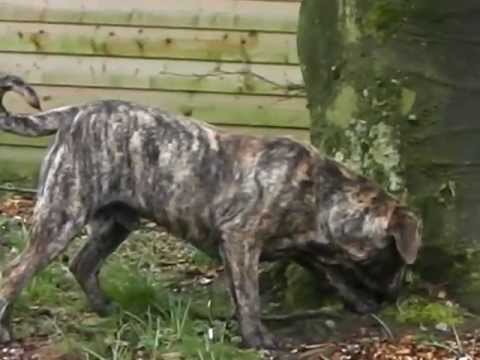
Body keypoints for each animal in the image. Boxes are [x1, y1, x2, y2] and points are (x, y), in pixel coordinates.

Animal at [0, 75, 420, 348]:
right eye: (395, 257)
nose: (396, 295)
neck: (320, 193)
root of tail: (75, 112)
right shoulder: (240, 240)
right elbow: (248, 296)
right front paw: (258, 338)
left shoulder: (301, 247)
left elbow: (332, 274)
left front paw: (358, 302)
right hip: (60, 219)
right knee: (15, 273)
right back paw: (6, 331)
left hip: (116, 223)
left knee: (82, 263)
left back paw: (105, 308)